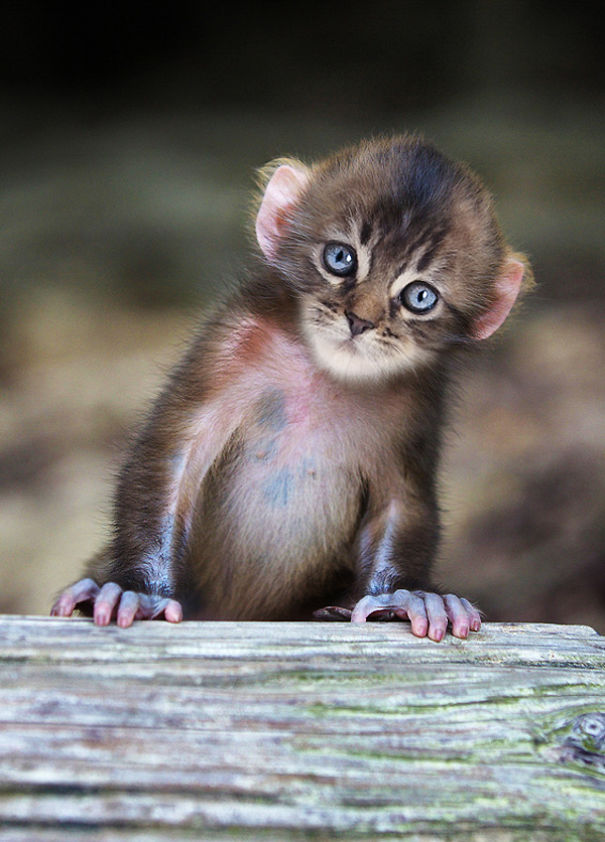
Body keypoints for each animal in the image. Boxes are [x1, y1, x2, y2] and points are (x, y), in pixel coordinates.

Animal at [51, 134, 533, 641]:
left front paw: (402, 598)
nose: (359, 319)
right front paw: (140, 592)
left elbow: (403, 500)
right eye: (340, 258)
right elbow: (171, 457)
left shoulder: (417, 402)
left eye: (420, 297)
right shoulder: (231, 340)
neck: (325, 372)